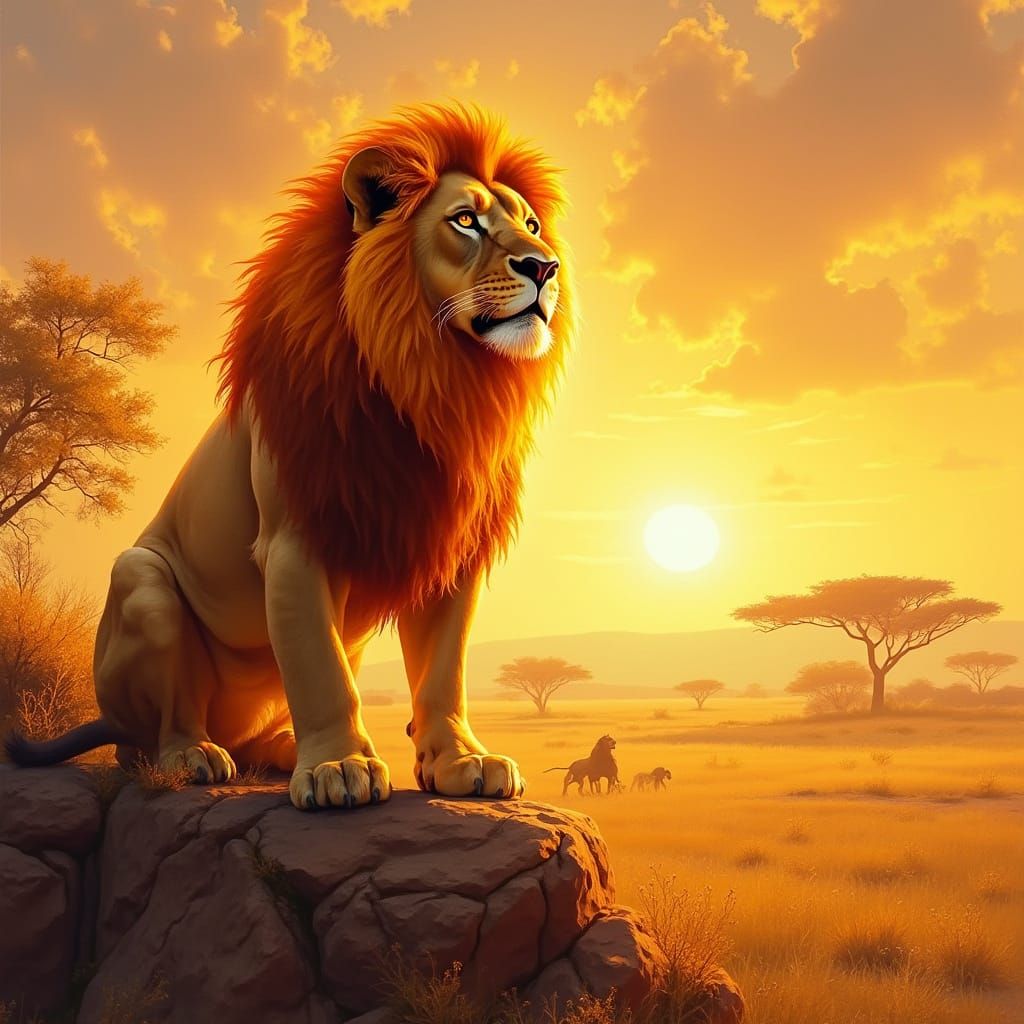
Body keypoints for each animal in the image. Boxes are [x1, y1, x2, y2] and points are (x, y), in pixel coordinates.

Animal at [5, 103, 576, 812]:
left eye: (531, 225)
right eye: (465, 221)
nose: (545, 267)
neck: (435, 381)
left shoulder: (450, 544)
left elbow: (444, 670)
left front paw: (462, 761)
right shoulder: (295, 538)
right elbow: (317, 668)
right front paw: (339, 767)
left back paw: (276, 752)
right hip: (141, 581)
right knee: (148, 737)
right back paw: (193, 755)